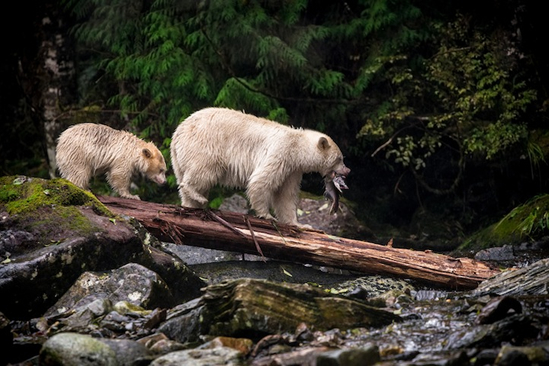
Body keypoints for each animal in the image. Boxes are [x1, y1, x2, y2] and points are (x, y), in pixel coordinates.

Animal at [169, 107, 350, 224]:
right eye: (339, 158)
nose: (347, 170)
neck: (297, 146)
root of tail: (177, 133)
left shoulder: (292, 170)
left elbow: (286, 195)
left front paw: (299, 224)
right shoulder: (281, 152)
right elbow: (261, 181)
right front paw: (267, 215)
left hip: (179, 159)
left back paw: (192, 204)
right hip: (205, 145)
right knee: (204, 172)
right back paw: (198, 196)